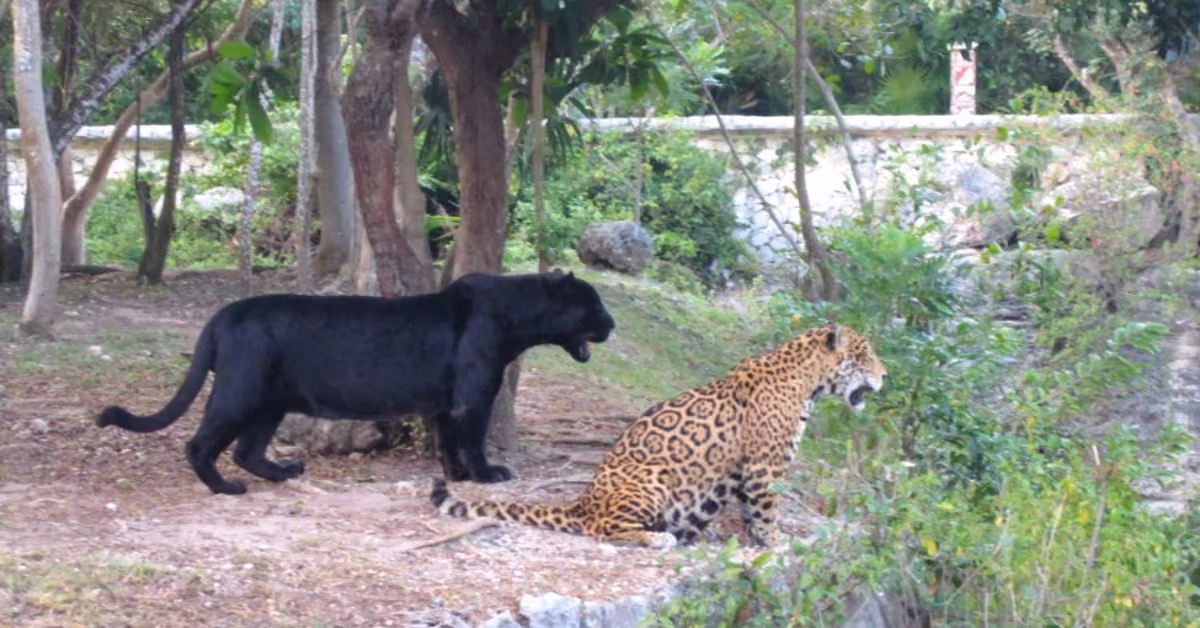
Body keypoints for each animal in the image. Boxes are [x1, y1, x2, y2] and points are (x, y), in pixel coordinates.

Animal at [430, 322, 887, 549]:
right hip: (650, 481)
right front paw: (775, 542)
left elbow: (750, 510)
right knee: (601, 529)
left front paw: (758, 540)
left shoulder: (747, 471)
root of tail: (582, 501)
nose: (886, 375)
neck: (808, 384)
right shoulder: (762, 469)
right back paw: (658, 538)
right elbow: (766, 511)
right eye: (865, 355)